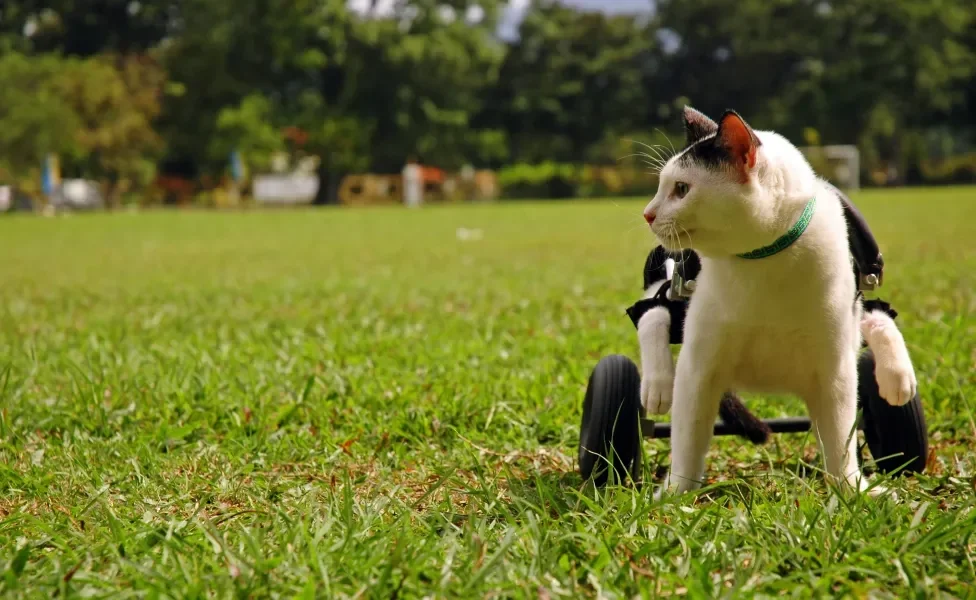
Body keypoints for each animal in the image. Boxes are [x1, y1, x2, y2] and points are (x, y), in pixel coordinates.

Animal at [636, 108, 920, 496]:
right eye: (662, 185)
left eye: (681, 189)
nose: (647, 214)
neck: (762, 262)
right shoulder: (699, 366)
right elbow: (687, 439)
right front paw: (675, 493)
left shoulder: (835, 369)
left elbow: (841, 439)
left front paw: (852, 490)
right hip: (671, 279)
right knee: (652, 311)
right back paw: (657, 384)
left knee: (877, 316)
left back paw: (896, 377)